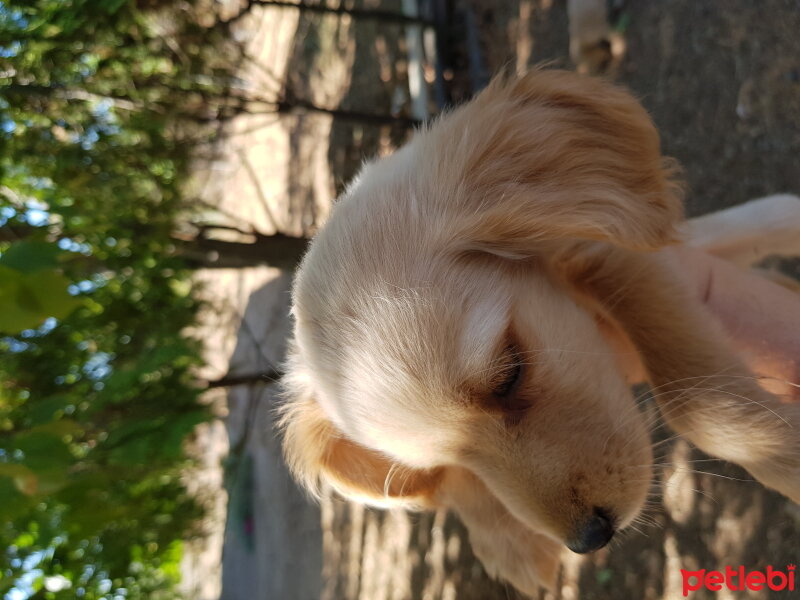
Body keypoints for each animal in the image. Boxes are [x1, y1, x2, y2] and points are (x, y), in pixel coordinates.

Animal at [280, 70, 800, 596]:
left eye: (509, 375)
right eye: (446, 458)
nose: (590, 538)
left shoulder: (611, 257)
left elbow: (694, 402)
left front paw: (781, 453)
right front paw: (509, 541)